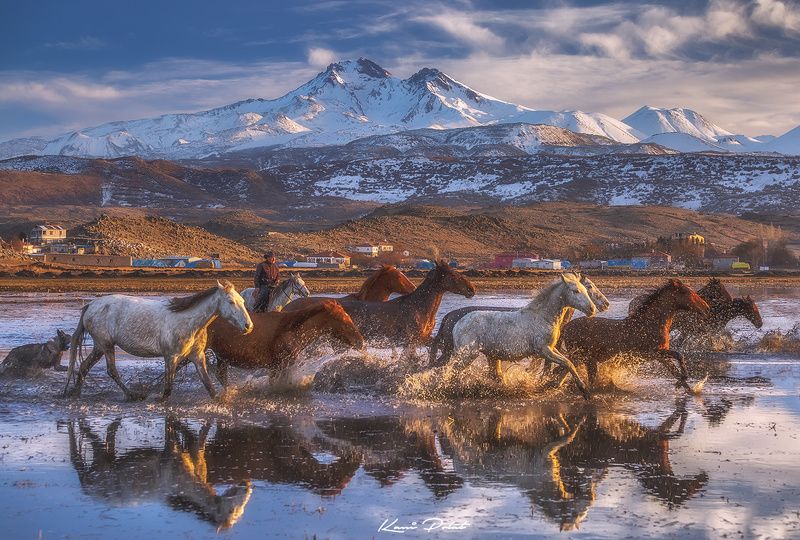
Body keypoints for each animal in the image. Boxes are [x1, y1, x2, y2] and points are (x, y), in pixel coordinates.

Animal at [64, 280, 253, 400]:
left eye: (242, 301)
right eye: (230, 301)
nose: (248, 326)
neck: (188, 321)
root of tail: (91, 305)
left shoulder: (197, 356)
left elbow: (208, 385)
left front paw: (221, 400)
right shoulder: (171, 357)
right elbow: (167, 389)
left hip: (99, 347)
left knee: (84, 366)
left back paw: (75, 393)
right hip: (106, 345)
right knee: (111, 371)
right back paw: (132, 395)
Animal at [206, 299, 364, 386]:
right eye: (342, 320)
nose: (361, 342)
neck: (291, 330)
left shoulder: (277, 367)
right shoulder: (282, 365)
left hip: (221, 358)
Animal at [446, 273, 597, 399]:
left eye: (585, 290)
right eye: (575, 291)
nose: (592, 309)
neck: (543, 317)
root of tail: (458, 324)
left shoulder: (551, 348)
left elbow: (568, 362)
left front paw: (559, 384)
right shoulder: (543, 351)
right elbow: (567, 363)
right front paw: (584, 391)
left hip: (489, 356)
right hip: (468, 354)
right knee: (453, 372)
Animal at [560, 279, 710, 391]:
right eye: (687, 292)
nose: (706, 308)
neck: (651, 323)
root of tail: (566, 327)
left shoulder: (661, 356)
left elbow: (675, 372)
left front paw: (688, 388)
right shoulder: (654, 352)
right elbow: (679, 356)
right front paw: (683, 381)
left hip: (587, 360)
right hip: (582, 359)